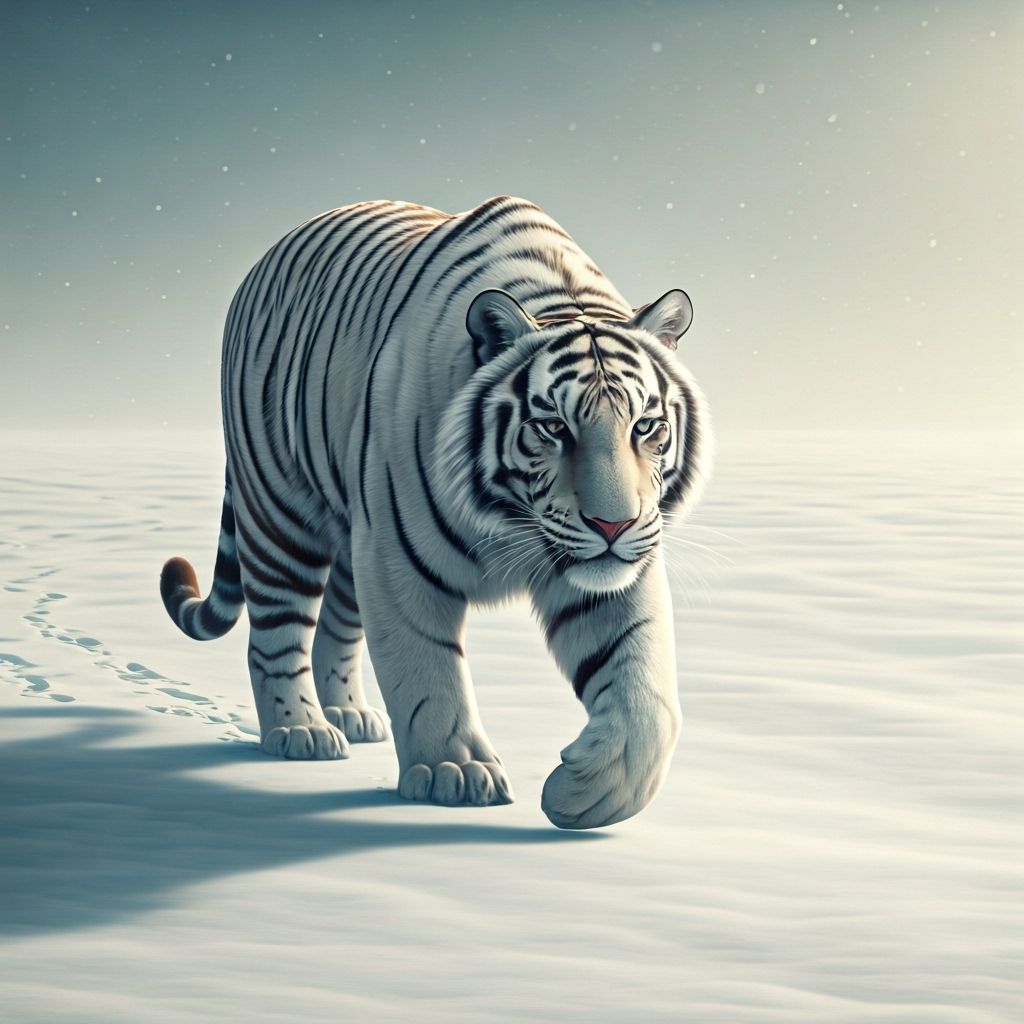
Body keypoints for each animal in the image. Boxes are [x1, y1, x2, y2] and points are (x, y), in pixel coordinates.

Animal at [160, 195, 711, 829]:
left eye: (644, 426)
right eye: (553, 427)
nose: (612, 526)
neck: (509, 518)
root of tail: (266, 257)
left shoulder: (615, 575)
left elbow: (646, 696)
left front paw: (585, 794)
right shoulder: (397, 561)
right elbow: (427, 670)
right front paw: (459, 773)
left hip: (353, 542)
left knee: (336, 629)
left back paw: (351, 717)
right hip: (280, 511)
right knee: (275, 631)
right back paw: (301, 733)